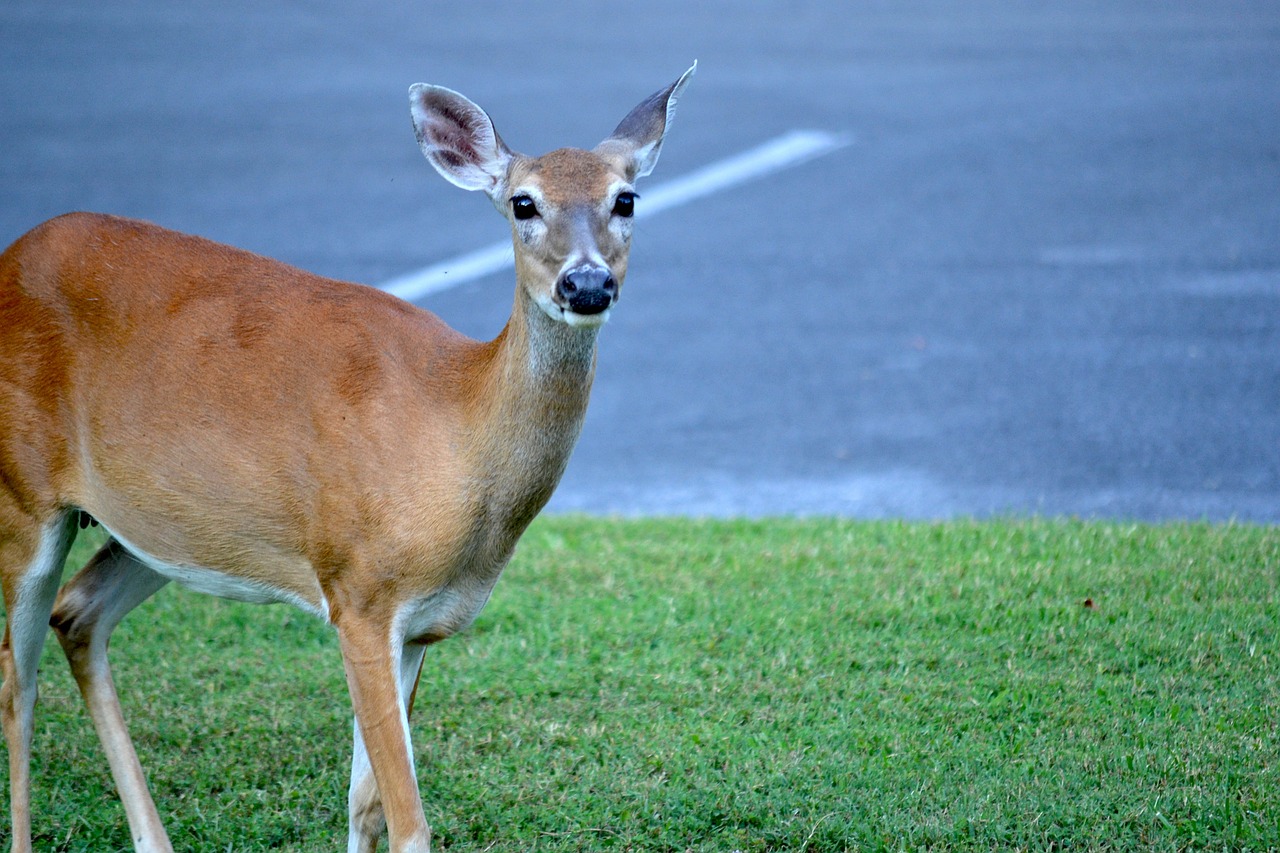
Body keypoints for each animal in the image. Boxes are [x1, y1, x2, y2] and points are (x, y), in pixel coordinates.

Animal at [0, 64, 696, 850]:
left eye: (625, 198)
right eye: (523, 203)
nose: (586, 283)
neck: (457, 437)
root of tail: (10, 255)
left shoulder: (421, 623)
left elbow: (365, 804)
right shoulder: (358, 589)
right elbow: (409, 819)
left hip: (159, 526)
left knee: (78, 614)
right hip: (22, 492)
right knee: (16, 677)